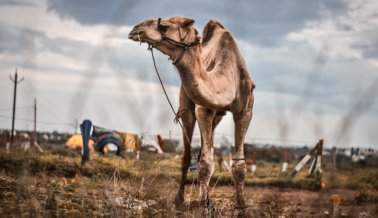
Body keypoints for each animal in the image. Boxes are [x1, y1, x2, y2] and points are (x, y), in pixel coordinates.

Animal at [128, 15, 255, 209]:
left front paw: (241, 206)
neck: (228, 77)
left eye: (164, 26)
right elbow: (205, 163)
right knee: (188, 156)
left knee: (204, 151)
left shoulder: (245, 111)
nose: (136, 29)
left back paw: (206, 199)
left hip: (217, 117)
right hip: (187, 107)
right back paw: (180, 200)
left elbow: (239, 165)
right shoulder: (203, 109)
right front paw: (203, 206)